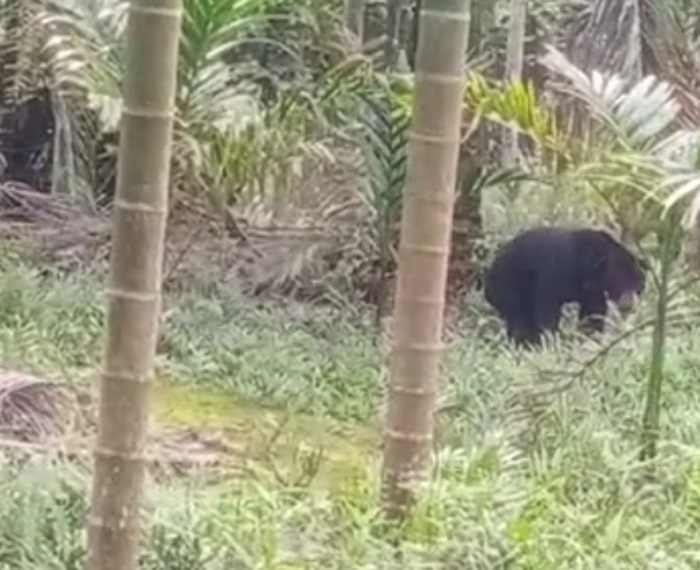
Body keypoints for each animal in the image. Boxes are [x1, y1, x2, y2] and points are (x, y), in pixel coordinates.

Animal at [484, 226, 648, 346]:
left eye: (638, 284)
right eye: (620, 280)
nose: (628, 303)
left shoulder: (594, 292)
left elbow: (592, 315)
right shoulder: (555, 272)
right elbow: (546, 310)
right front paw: (551, 340)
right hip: (508, 284)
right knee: (519, 318)